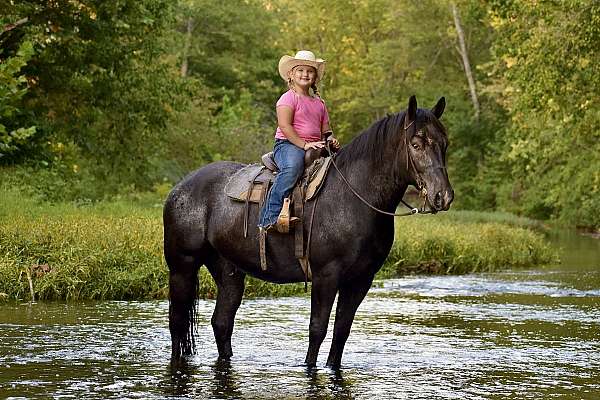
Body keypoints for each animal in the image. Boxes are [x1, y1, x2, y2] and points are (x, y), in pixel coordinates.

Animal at [164, 95, 454, 368]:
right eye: (416, 144)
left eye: (444, 143)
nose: (443, 196)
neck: (353, 196)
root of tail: (180, 188)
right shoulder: (326, 275)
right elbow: (318, 329)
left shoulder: (360, 280)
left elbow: (341, 332)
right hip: (182, 267)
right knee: (177, 322)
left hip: (228, 270)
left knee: (222, 322)